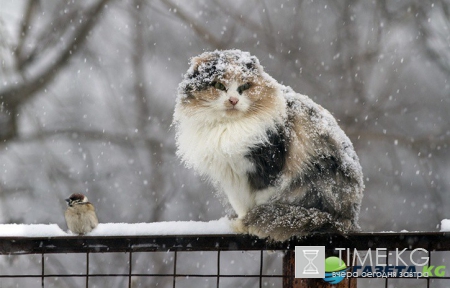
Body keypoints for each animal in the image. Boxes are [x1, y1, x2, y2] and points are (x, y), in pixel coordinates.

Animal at [172, 49, 362, 241]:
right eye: (218, 85)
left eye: (245, 87)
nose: (233, 100)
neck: (229, 128)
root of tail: (348, 219)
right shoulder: (231, 177)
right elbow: (241, 205)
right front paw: (242, 223)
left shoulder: (268, 169)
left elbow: (260, 201)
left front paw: (247, 225)